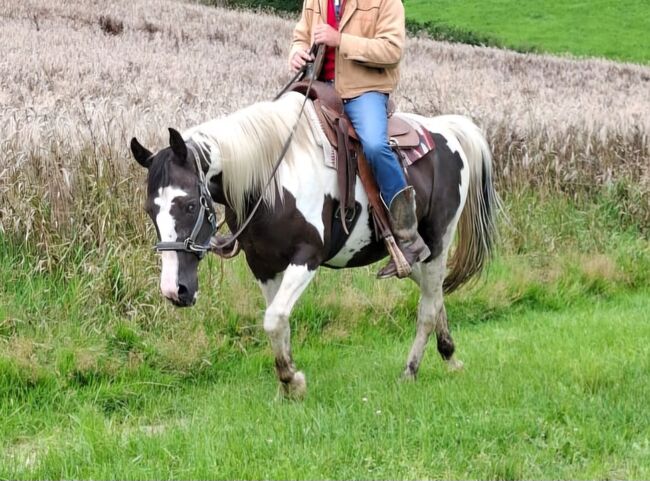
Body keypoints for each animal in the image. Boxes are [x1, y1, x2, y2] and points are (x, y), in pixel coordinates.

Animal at [130, 91, 499, 398]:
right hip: (411, 260)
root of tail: (446, 128)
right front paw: (288, 384)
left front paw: (292, 380)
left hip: (438, 242)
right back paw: (449, 356)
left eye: (190, 204)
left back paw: (411, 370)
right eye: (150, 209)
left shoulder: (306, 257)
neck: (272, 178)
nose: (174, 291)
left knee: (427, 306)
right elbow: (279, 323)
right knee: (433, 295)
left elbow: (274, 318)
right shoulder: (263, 265)